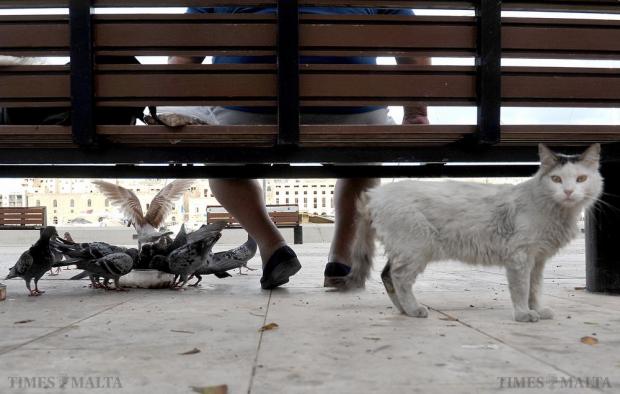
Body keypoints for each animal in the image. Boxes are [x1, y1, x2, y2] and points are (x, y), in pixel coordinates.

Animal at [342, 145, 604, 324]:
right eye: (556, 179)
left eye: (581, 179)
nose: (568, 191)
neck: (557, 211)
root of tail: (375, 194)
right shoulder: (520, 258)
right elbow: (521, 289)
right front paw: (523, 314)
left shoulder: (537, 260)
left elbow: (535, 289)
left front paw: (537, 310)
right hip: (416, 248)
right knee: (399, 278)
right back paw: (414, 309)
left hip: (404, 248)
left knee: (386, 275)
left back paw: (403, 310)